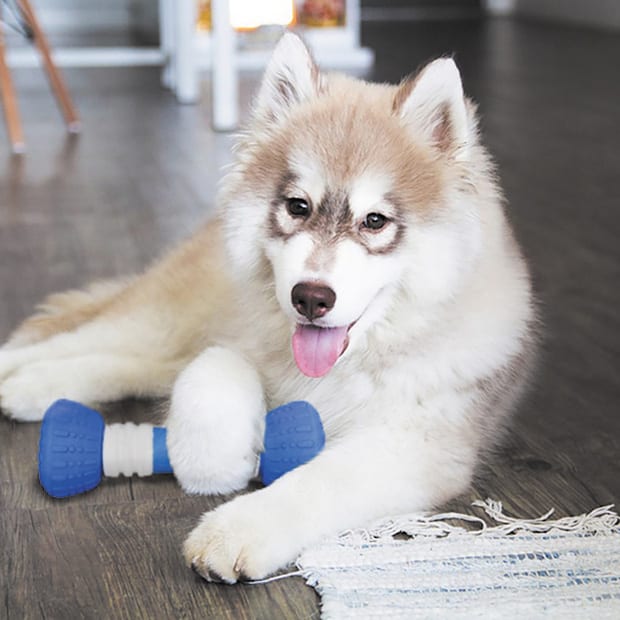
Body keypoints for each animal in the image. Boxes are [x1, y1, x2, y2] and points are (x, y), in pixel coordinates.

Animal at [0, 36, 536, 584]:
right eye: (298, 206)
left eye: (375, 221)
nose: (311, 297)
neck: (344, 367)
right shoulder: (234, 340)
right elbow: (215, 376)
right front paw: (216, 448)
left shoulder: (419, 444)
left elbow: (320, 480)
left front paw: (236, 528)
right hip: (170, 316)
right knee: (89, 339)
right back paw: (19, 373)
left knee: (128, 362)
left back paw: (28, 388)